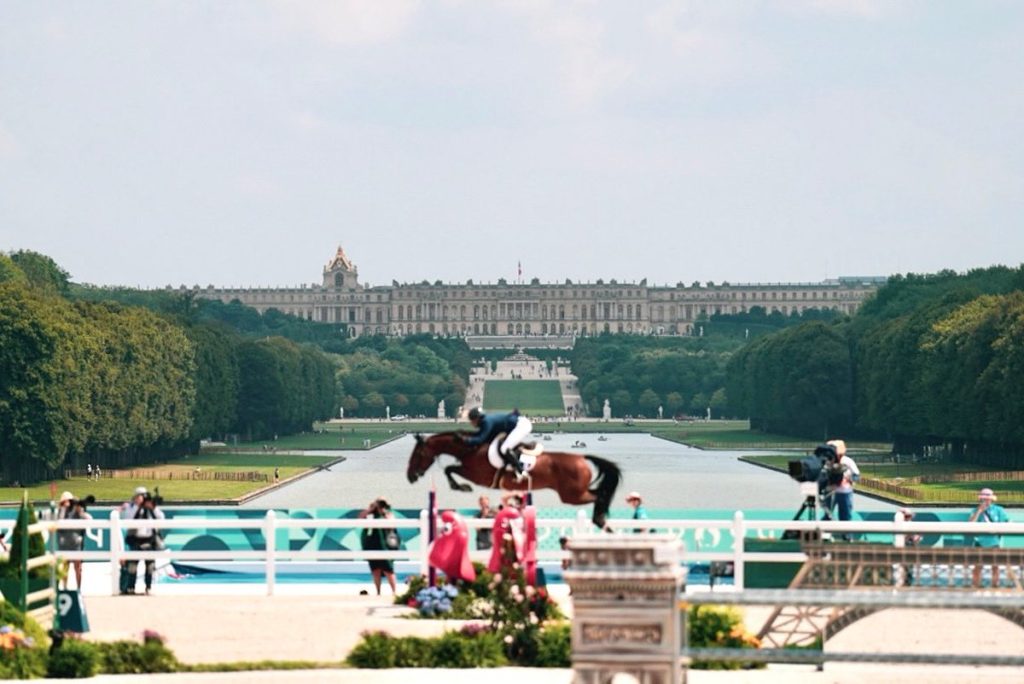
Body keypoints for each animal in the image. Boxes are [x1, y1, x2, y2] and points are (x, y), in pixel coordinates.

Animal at [405, 432, 614, 528]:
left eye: (418, 454)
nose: (410, 476)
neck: (471, 448)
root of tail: (581, 458)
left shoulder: (477, 475)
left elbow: (450, 469)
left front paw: (461, 487)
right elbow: (450, 469)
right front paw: (460, 486)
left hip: (572, 495)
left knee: (600, 495)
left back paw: (600, 519)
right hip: (574, 493)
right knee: (600, 494)